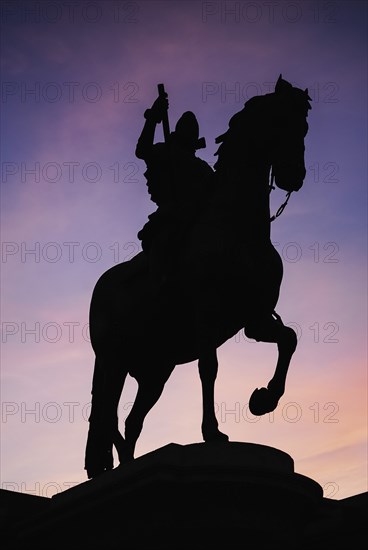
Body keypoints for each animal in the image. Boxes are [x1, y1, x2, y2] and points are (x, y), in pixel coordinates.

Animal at [85, 75, 312, 480]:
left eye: (303, 127)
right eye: (279, 122)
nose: (294, 177)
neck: (238, 228)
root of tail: (102, 286)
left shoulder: (255, 319)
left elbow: (288, 339)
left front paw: (263, 399)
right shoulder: (206, 314)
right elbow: (210, 369)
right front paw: (213, 432)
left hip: (155, 369)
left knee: (130, 420)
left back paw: (129, 462)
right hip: (113, 361)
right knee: (106, 412)